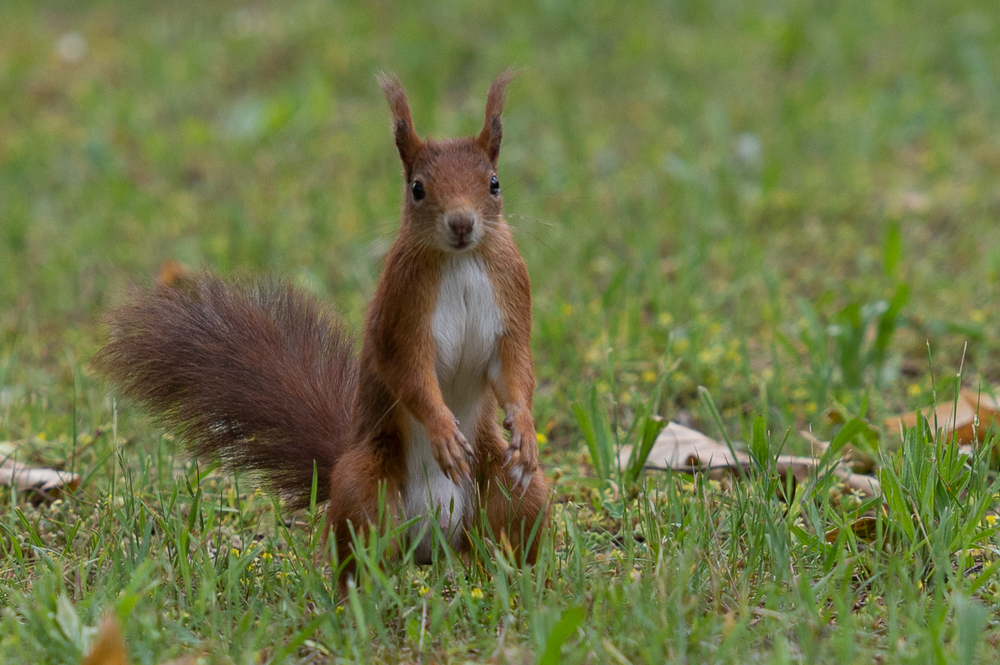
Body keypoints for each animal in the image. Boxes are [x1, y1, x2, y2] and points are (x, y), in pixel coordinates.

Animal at [95, 70, 548, 584]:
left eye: (494, 183)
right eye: (417, 188)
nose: (461, 223)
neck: (461, 260)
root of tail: (432, 545)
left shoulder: (511, 296)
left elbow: (514, 369)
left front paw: (525, 429)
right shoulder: (400, 313)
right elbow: (408, 373)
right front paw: (443, 433)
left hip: (512, 489)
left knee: (515, 520)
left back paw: (526, 581)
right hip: (364, 484)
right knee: (361, 548)